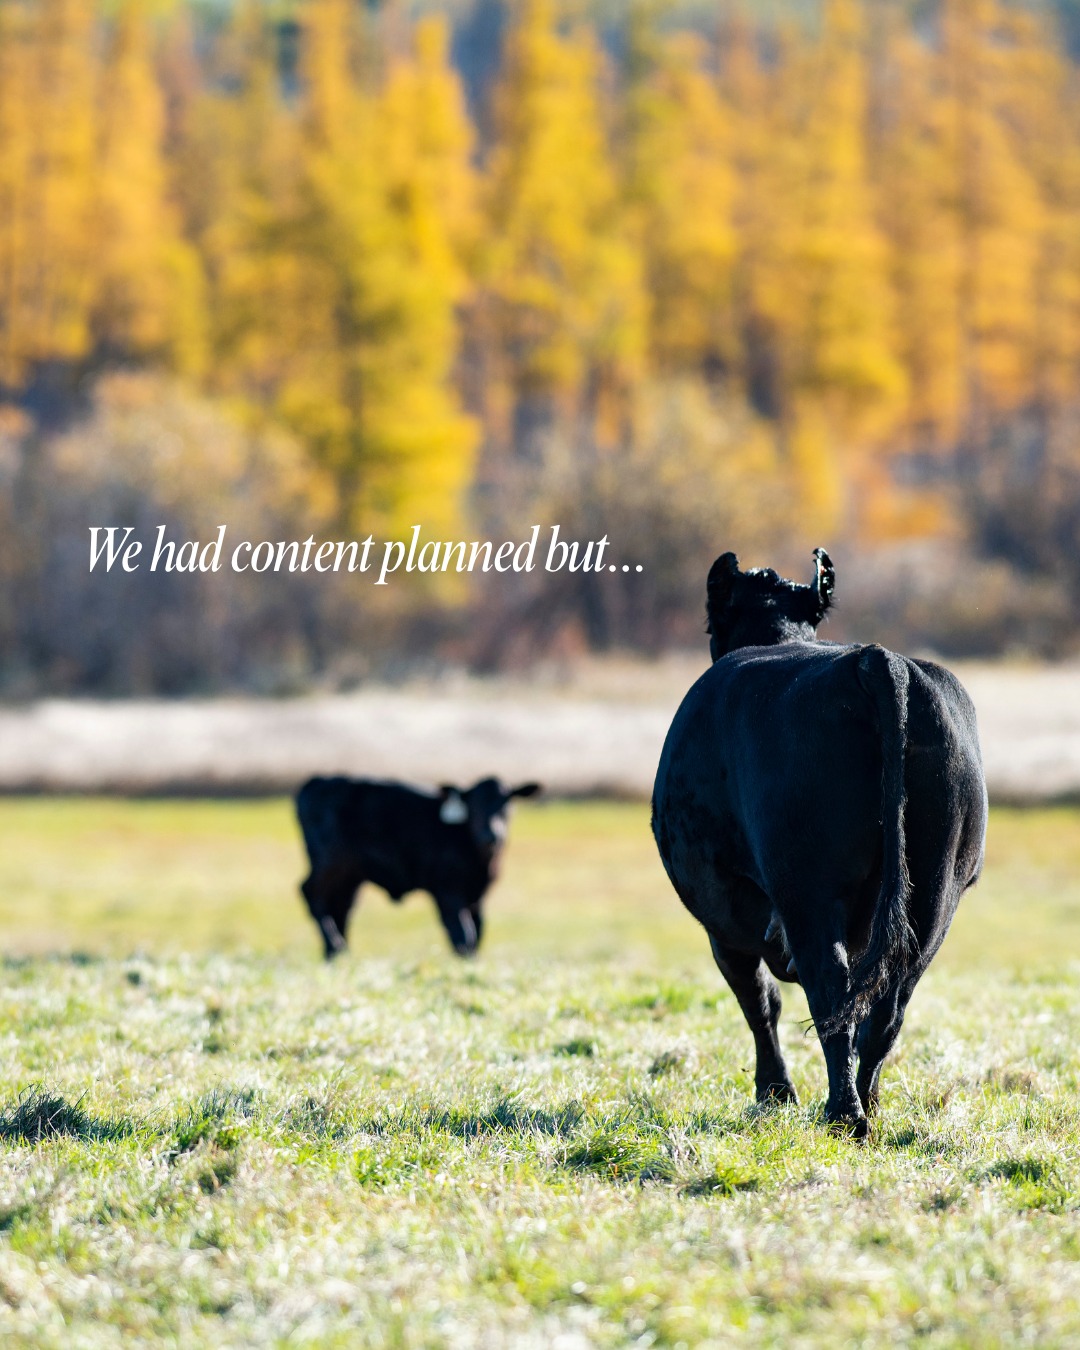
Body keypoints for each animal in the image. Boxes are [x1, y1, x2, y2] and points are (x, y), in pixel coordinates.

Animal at [296, 775, 540, 959]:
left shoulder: (477, 896)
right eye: (473, 806)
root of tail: (316, 781)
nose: (491, 835)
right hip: (329, 863)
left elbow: (478, 931)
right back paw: (335, 945)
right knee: (310, 892)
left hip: (350, 874)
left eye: (506, 804)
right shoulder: (446, 890)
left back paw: (337, 952)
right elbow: (463, 934)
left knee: (341, 906)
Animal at [651, 549, 987, 1137]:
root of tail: (875, 660)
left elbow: (758, 999)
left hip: (805, 886)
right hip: (937, 890)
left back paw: (843, 1114)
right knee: (889, 1000)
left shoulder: (721, 913)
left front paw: (774, 1093)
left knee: (829, 987)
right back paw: (867, 1103)